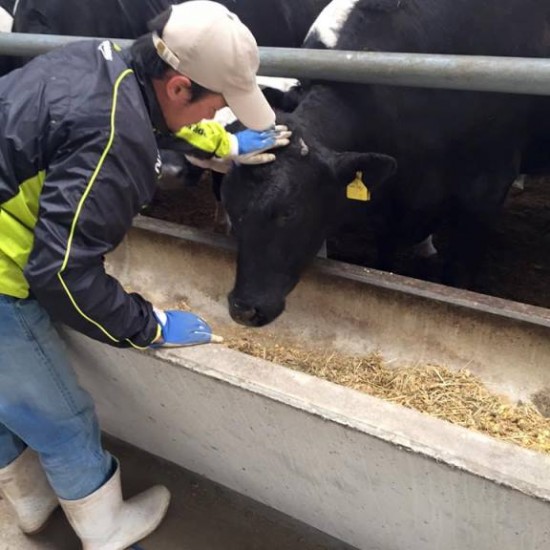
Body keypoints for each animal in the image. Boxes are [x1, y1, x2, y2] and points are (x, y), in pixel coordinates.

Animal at [221, 0, 550, 328]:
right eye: (232, 209)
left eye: (289, 211)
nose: (243, 308)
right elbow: (386, 256)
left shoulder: (486, 189)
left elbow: (458, 275)